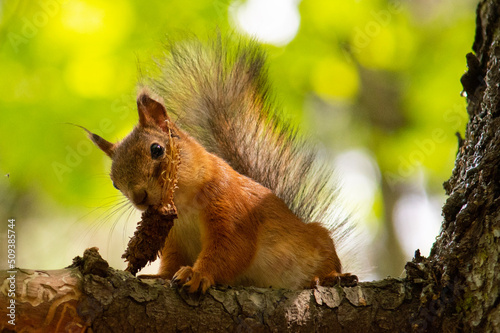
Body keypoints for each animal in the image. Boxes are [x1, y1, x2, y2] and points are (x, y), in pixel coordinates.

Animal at [88, 35, 358, 292]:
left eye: (157, 149)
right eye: (115, 183)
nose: (140, 198)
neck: (185, 204)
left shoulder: (232, 208)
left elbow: (230, 249)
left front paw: (197, 274)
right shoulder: (173, 238)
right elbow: (173, 261)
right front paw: (160, 276)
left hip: (320, 242)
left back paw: (332, 277)